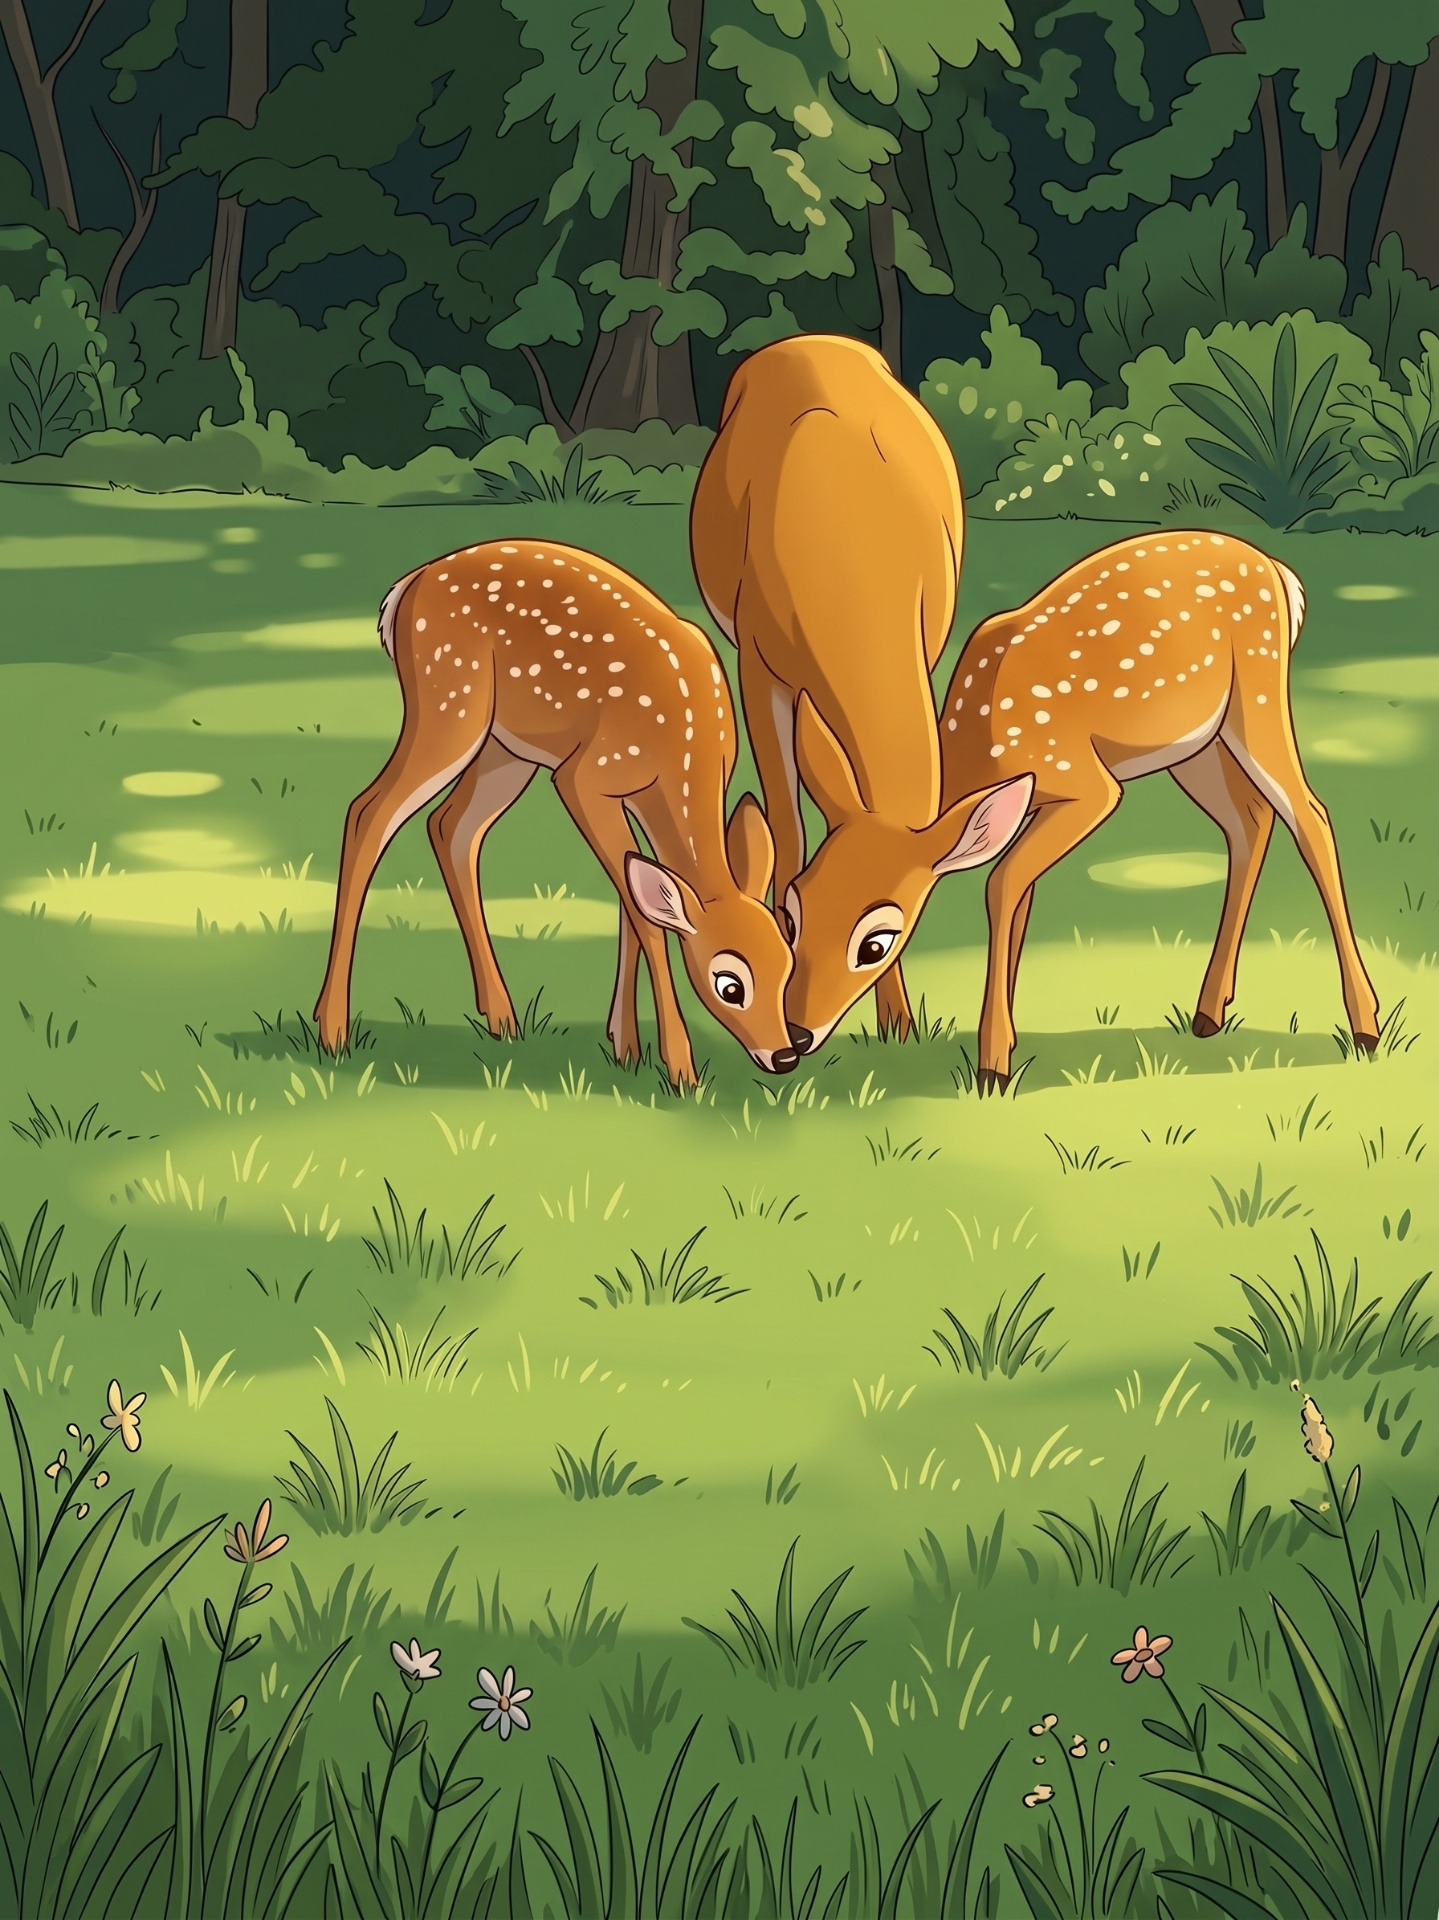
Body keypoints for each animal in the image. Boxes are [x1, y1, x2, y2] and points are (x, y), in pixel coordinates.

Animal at [313, 539, 800, 1087]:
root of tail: (406, 588)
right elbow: (647, 917)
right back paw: (332, 1030)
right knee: (368, 810)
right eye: (729, 984)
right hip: (450, 703)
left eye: (787, 965)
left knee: (451, 825)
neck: (685, 757)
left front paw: (626, 1046)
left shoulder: (637, 799)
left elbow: (630, 902)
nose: (785, 1055)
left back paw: (501, 1016)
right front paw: (680, 1068)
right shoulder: (585, 778)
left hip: (506, 745)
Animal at [690, 332, 1034, 1056]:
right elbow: (788, 826)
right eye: (791, 914)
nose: (796, 1030)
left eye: (879, 941)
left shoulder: (926, 642)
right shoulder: (757, 660)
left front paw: (898, 1023)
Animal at [935, 530, 1381, 1088]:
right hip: (1195, 742)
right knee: (1251, 818)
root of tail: (1277, 569)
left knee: (1309, 814)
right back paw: (1209, 1014)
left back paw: (1365, 1028)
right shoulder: (1036, 803)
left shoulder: (1087, 786)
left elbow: (1001, 882)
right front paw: (1005, 1045)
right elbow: (1020, 895)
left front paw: (992, 1065)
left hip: (1257, 689)